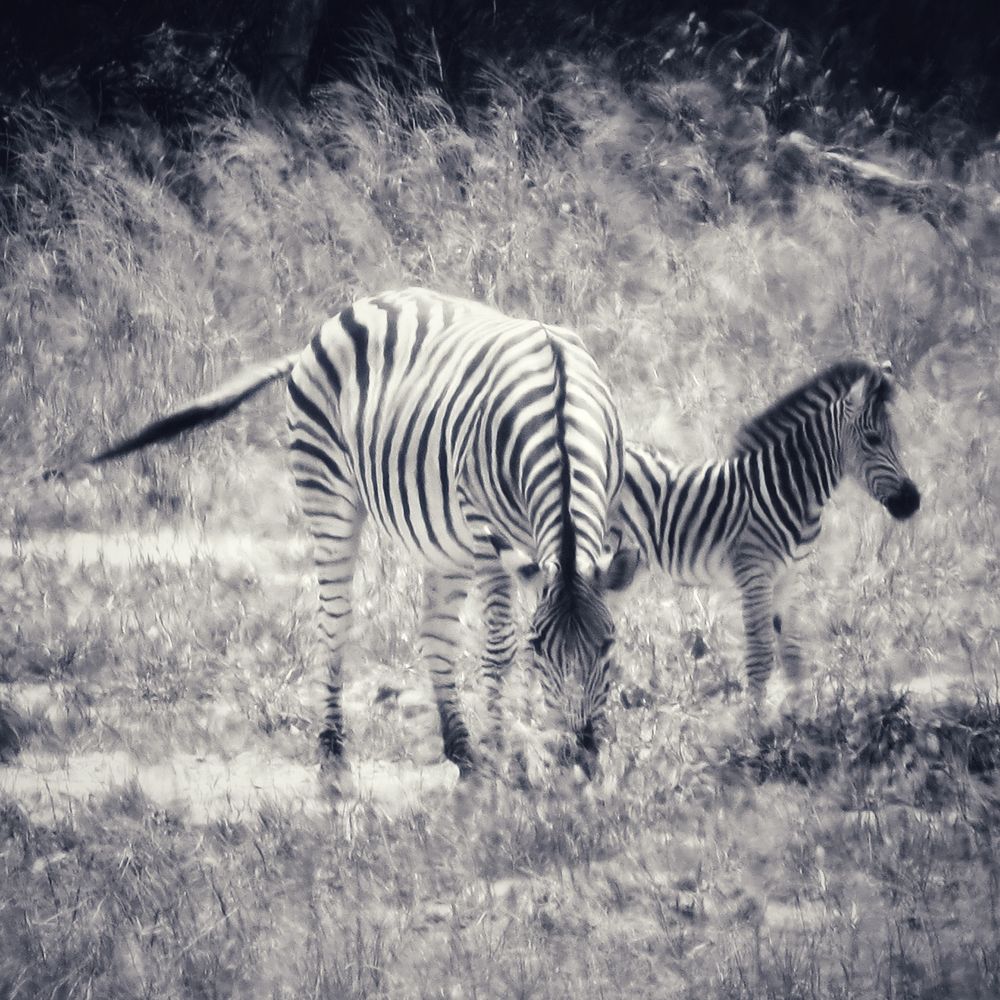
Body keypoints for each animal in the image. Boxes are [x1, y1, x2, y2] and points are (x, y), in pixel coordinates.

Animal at [58, 288, 639, 777]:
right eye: (539, 649)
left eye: (609, 644)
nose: (579, 754)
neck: (558, 420)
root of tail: (351, 309)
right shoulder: (488, 535)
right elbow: (498, 645)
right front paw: (506, 761)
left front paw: (500, 756)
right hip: (329, 493)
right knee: (334, 621)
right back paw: (334, 752)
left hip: (442, 537)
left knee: (435, 633)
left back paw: (462, 752)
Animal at [609, 360, 920, 706]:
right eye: (874, 439)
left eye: (894, 438)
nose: (913, 501)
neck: (788, 488)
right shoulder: (754, 574)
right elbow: (760, 654)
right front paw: (755, 718)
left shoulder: (789, 574)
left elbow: (793, 652)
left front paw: (801, 713)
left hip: (625, 564)